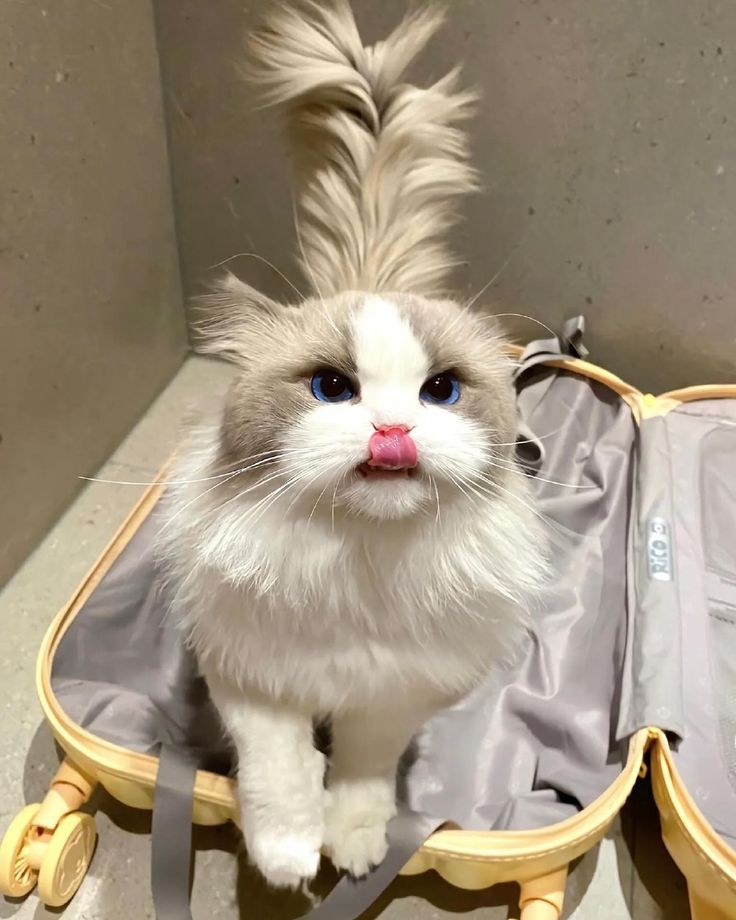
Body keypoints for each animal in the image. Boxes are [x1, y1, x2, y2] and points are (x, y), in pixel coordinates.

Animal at [157, 0, 548, 892]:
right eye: (332, 388)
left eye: (441, 392)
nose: (392, 431)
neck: (362, 564)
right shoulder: (252, 676)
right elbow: (279, 770)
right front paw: (288, 854)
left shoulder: (392, 696)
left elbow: (364, 772)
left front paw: (357, 846)